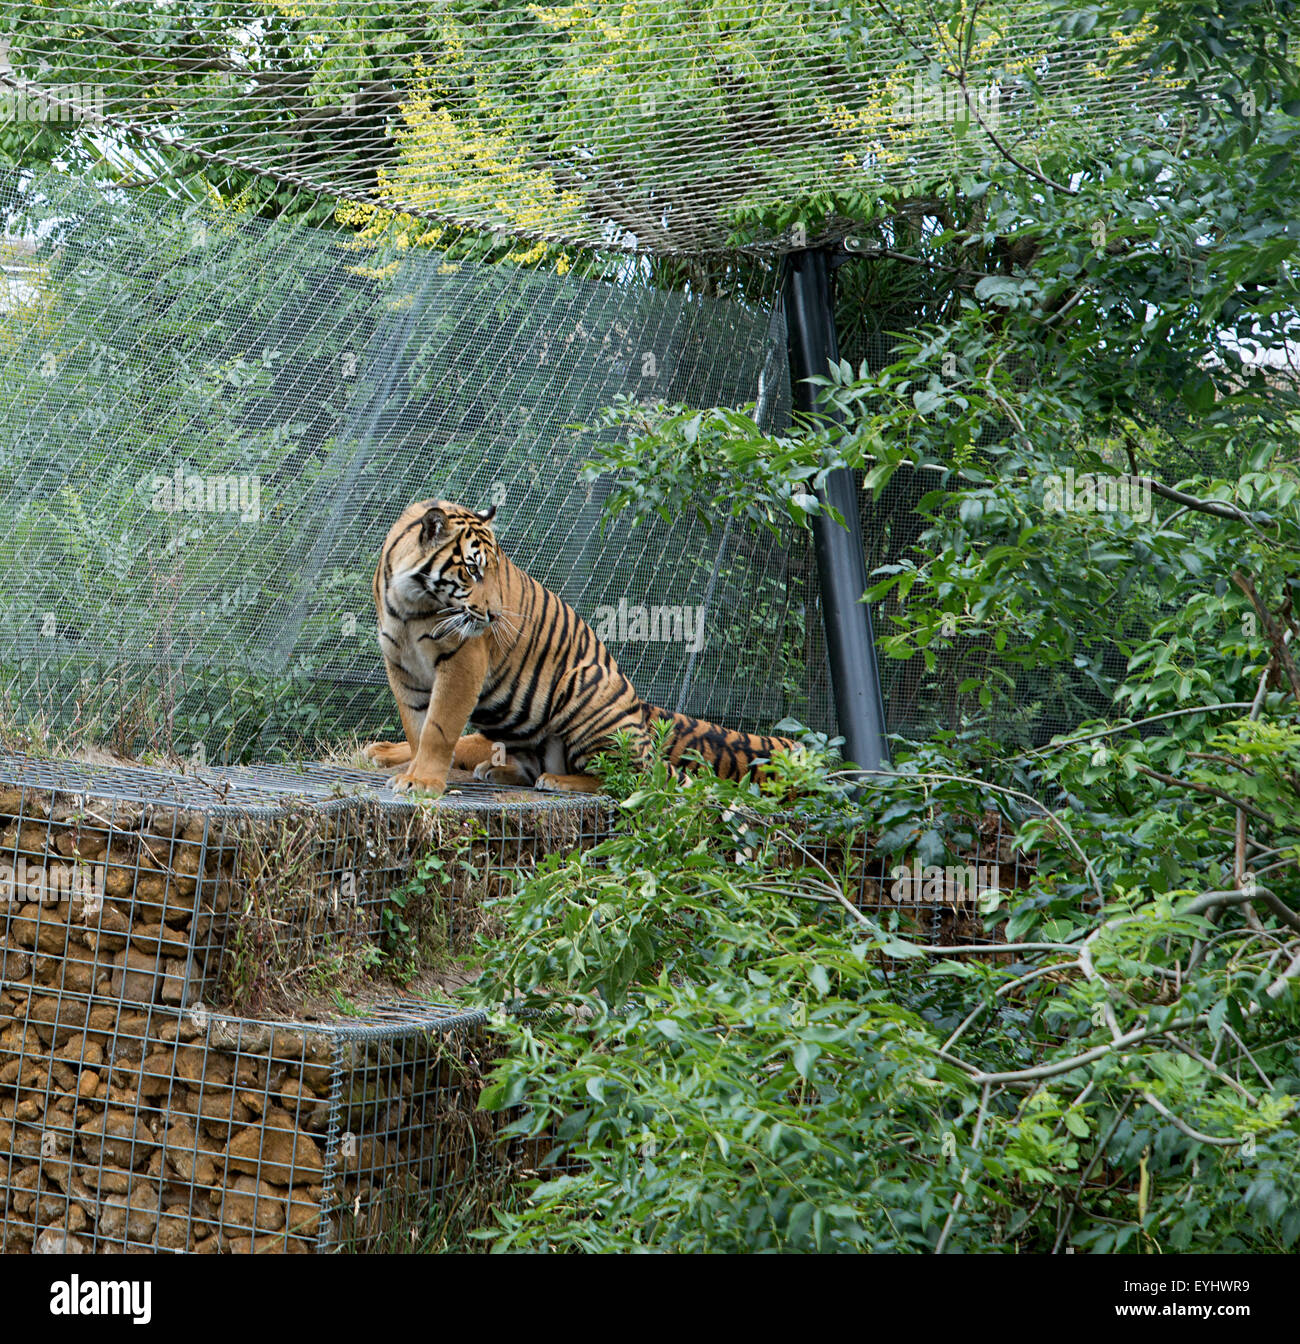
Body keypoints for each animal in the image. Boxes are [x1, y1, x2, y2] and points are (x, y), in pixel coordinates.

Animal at [360, 505, 795, 795]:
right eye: (471, 570)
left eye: (492, 572)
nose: (495, 616)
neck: (411, 604)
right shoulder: (402, 668)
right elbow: (417, 728)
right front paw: (413, 771)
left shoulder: (463, 661)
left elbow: (439, 728)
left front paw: (421, 781)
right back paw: (500, 771)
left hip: (584, 687)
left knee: (625, 779)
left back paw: (557, 780)